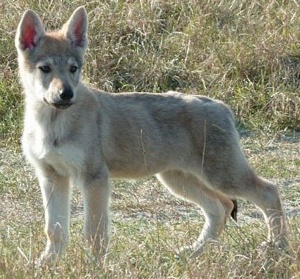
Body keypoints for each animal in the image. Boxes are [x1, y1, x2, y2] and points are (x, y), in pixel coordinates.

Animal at [15, 7, 288, 264]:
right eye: (45, 69)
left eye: (73, 69)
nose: (66, 94)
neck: (51, 125)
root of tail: (222, 106)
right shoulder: (52, 177)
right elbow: (55, 230)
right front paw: (47, 263)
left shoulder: (94, 178)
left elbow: (94, 233)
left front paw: (94, 266)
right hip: (179, 181)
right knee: (221, 208)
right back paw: (194, 251)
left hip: (223, 178)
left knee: (268, 192)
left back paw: (277, 247)